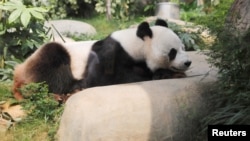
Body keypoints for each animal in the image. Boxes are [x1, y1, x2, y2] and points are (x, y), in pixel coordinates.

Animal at [12, 19, 191, 100]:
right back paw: (72, 88)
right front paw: (161, 73)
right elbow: (106, 77)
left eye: (184, 47)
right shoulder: (109, 54)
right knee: (52, 64)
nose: (188, 62)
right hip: (46, 59)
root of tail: (18, 72)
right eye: (173, 52)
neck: (135, 44)